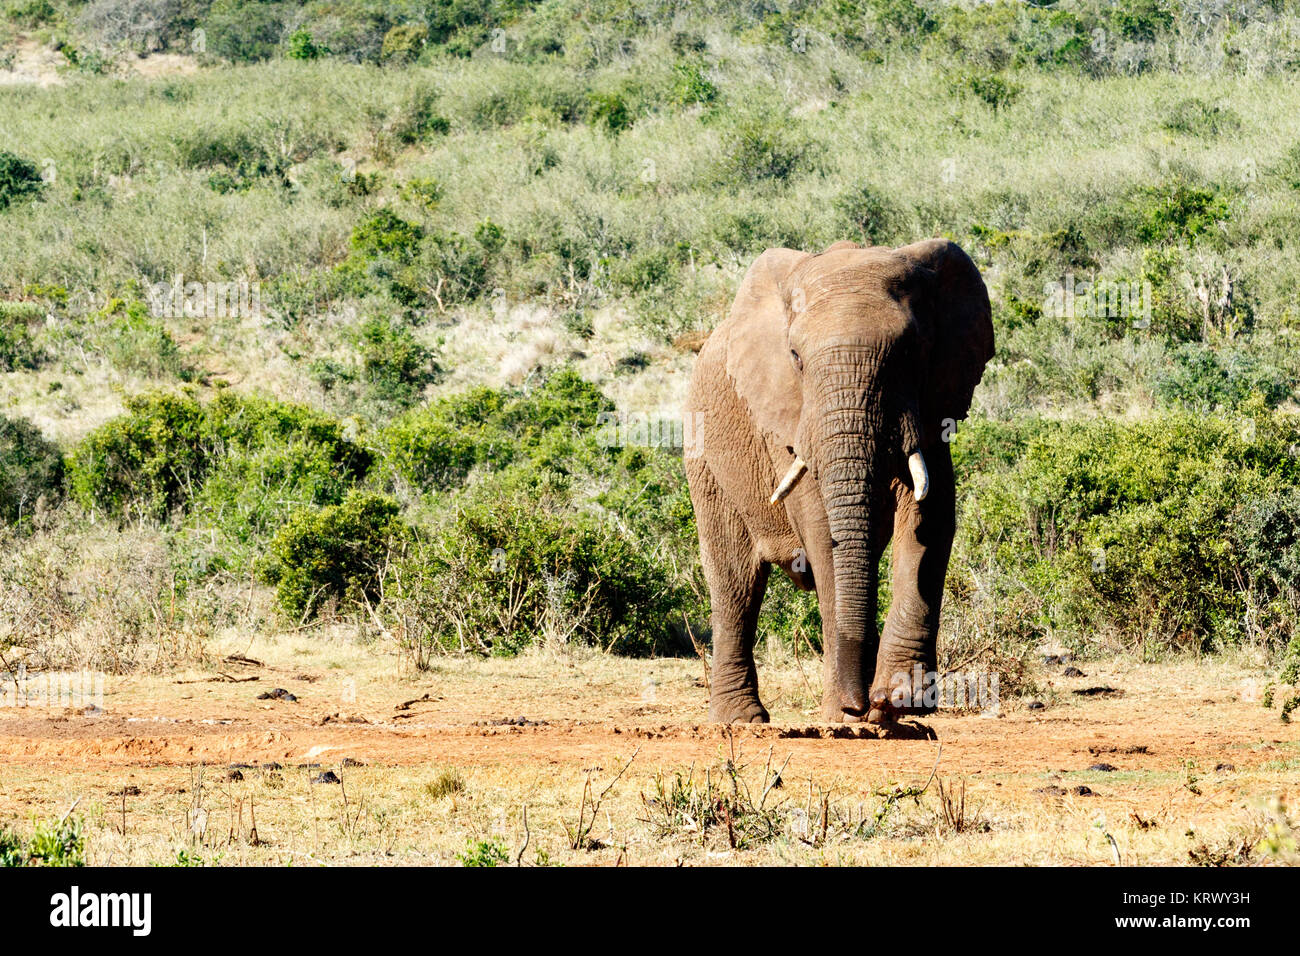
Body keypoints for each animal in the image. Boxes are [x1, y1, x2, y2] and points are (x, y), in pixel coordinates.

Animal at [683, 238, 994, 724]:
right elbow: (821, 527)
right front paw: (844, 715)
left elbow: (930, 517)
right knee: (735, 583)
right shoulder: (789, 417)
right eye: (795, 358)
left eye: (910, 352)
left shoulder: (930, 404)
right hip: (705, 460)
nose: (859, 704)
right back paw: (741, 720)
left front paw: (900, 701)